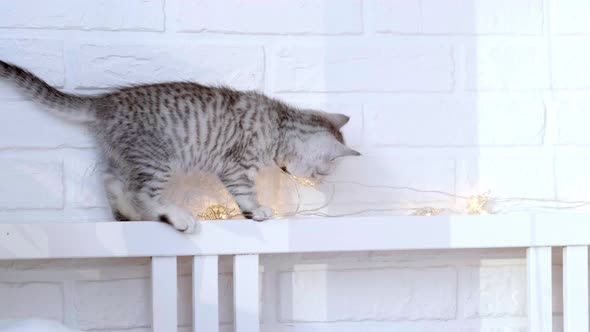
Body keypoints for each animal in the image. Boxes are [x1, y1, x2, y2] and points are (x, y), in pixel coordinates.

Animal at [0, 59, 360, 232]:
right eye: (322, 171)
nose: (318, 181)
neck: (279, 122)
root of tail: (104, 103)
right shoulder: (236, 166)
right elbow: (246, 192)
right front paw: (256, 210)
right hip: (158, 158)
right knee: (143, 192)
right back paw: (175, 216)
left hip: (124, 157)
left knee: (113, 183)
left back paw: (130, 217)